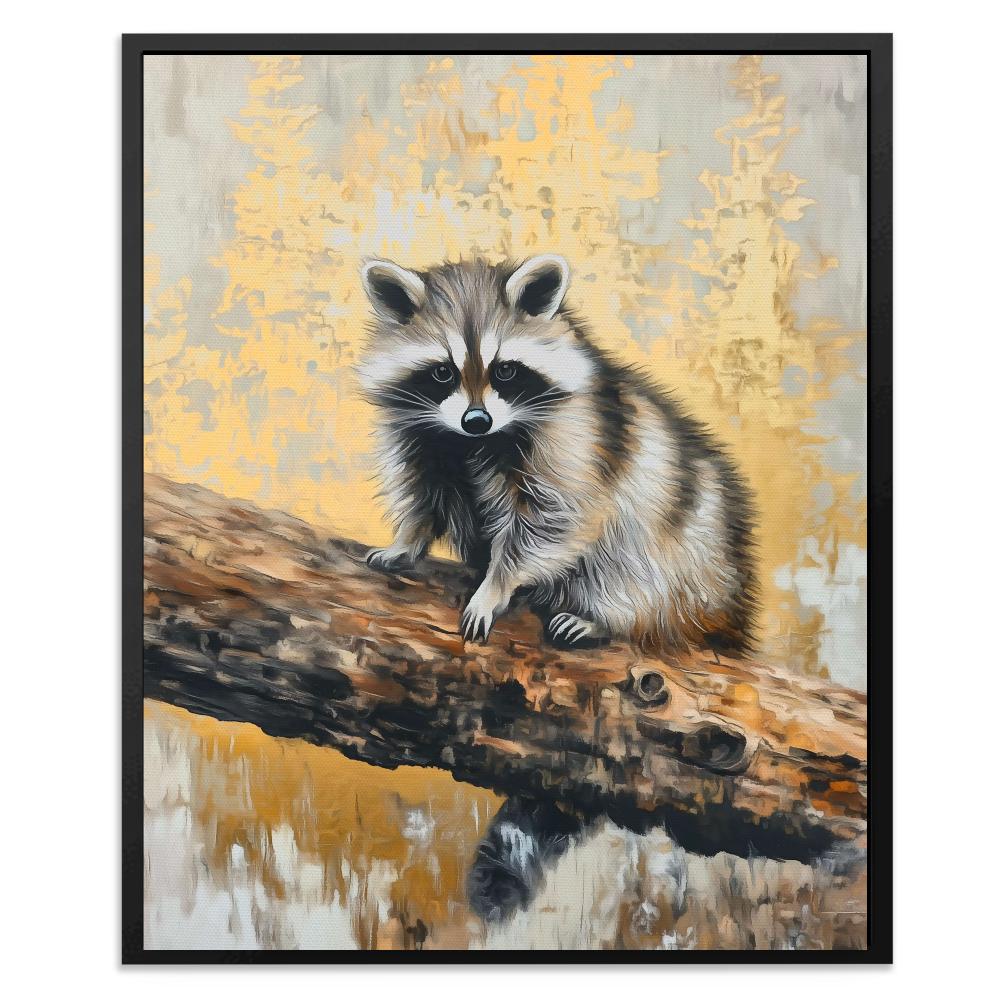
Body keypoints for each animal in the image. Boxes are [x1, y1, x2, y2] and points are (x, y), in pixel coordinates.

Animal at [356, 255, 758, 653]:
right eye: (442, 372)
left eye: (505, 370)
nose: (477, 420)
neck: (471, 442)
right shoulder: (420, 437)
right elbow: (422, 496)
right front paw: (407, 541)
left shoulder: (572, 439)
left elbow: (551, 520)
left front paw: (494, 587)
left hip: (685, 556)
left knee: (633, 576)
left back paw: (606, 620)